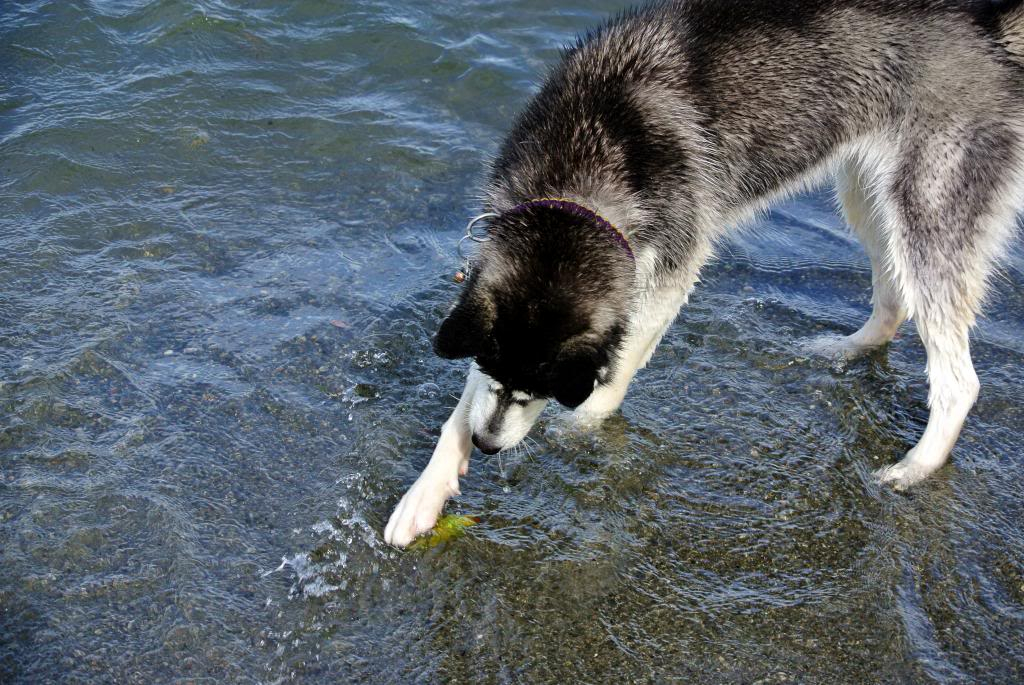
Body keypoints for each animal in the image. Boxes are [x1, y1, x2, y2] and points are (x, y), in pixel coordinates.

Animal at [380, 0, 1019, 544]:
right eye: (493, 368)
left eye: (544, 387)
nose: (488, 447)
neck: (589, 159)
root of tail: (984, 30)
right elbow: (460, 408)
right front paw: (427, 492)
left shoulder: (667, 272)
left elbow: (616, 372)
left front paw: (580, 425)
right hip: (867, 196)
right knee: (894, 299)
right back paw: (849, 348)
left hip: (925, 211)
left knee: (959, 380)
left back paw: (918, 465)